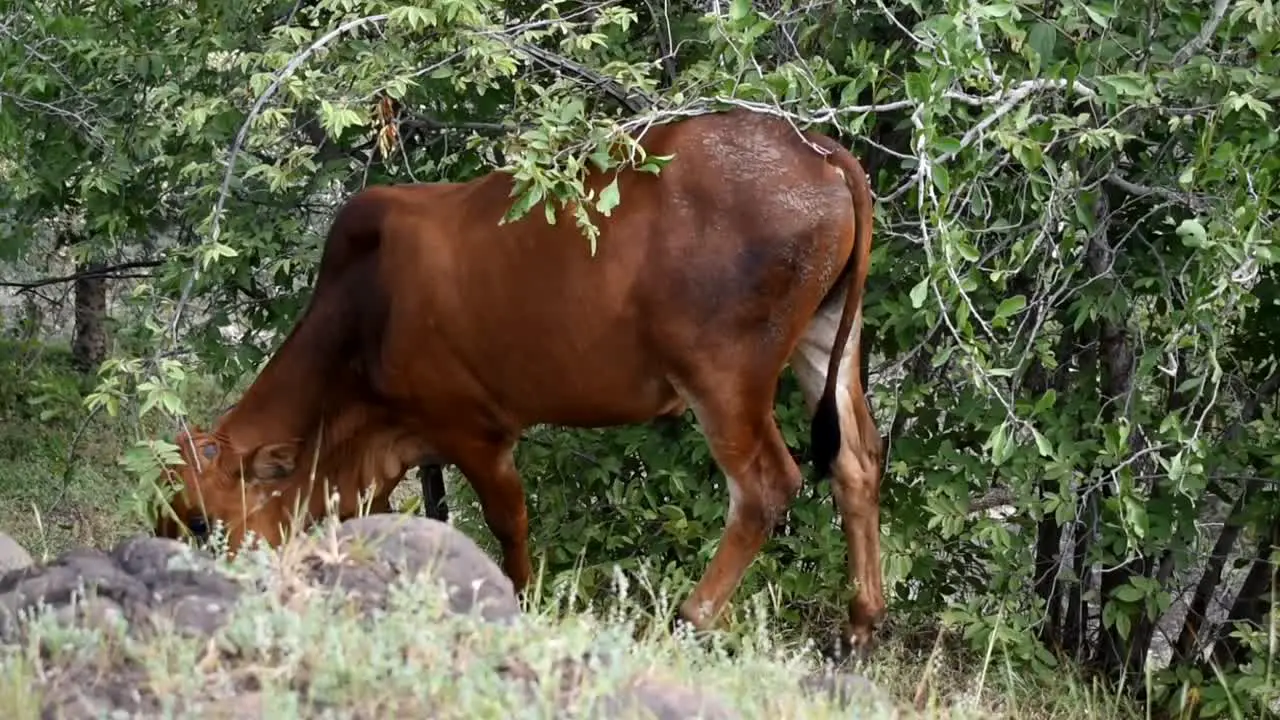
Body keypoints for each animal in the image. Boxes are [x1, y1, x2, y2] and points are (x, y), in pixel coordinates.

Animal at [154, 109, 885, 648]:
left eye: (200, 522)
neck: (363, 311)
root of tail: (816, 149)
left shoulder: (474, 432)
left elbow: (509, 527)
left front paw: (525, 605)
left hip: (724, 377)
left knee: (766, 487)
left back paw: (687, 618)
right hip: (827, 341)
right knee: (856, 464)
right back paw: (860, 623)